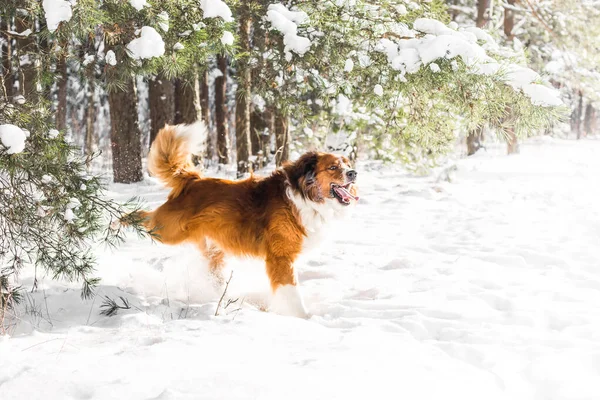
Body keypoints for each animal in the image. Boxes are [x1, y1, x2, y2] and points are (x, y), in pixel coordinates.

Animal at [138, 120, 358, 318]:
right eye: (332, 167)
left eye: (348, 164)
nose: (353, 173)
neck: (305, 197)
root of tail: (193, 180)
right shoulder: (280, 258)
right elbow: (291, 292)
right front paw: (303, 317)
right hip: (168, 230)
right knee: (141, 217)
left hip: (212, 250)